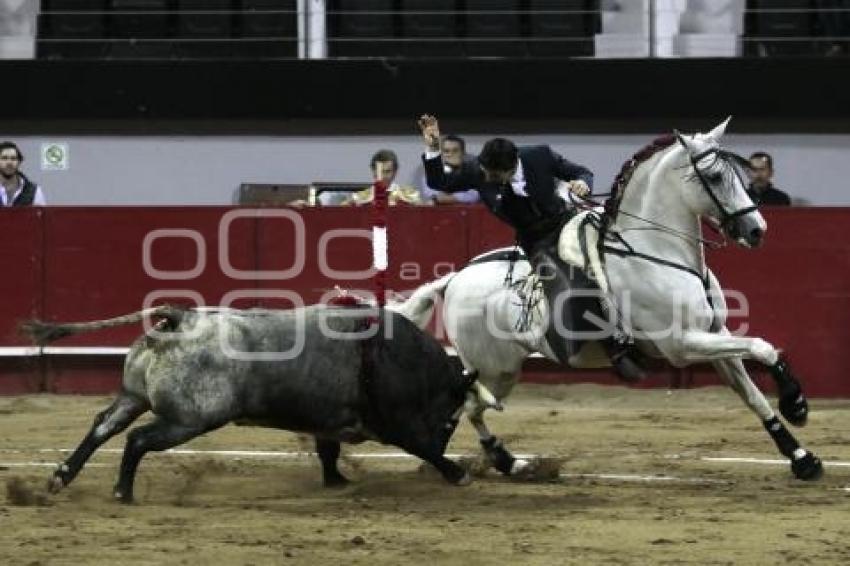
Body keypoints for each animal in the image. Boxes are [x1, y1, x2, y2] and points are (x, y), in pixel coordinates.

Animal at [23, 304, 474, 504]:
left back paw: (61, 477)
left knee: (105, 425)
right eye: (451, 422)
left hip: (133, 397)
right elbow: (423, 446)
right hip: (190, 419)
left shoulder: (326, 420)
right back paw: (122, 492)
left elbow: (327, 451)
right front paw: (458, 473)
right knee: (137, 439)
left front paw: (337, 482)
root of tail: (182, 317)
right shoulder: (396, 423)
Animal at [396, 120, 820, 484]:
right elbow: (763, 347)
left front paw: (802, 458)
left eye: (738, 175)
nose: (757, 230)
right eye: (715, 177)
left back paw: (485, 462)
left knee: (464, 407)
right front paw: (797, 403)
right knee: (470, 406)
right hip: (493, 368)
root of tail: (455, 278)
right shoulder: (682, 344)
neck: (659, 251)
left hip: (501, 371)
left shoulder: (717, 336)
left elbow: (752, 391)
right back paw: (494, 461)